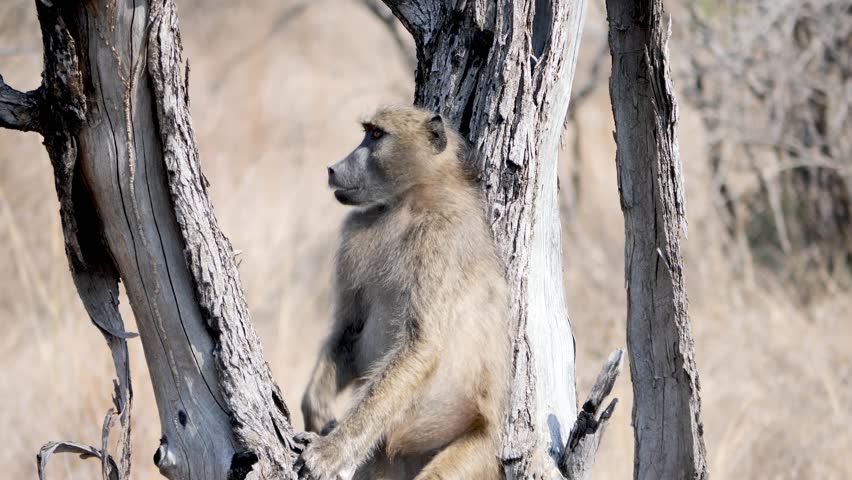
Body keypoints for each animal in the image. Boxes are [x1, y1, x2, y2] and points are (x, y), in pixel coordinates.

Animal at [296, 105, 511, 480]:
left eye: (376, 135)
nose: (333, 168)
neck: (408, 202)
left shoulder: (440, 239)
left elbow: (420, 344)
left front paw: (330, 451)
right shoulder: (355, 230)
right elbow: (349, 329)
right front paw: (317, 411)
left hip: (477, 448)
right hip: (385, 459)